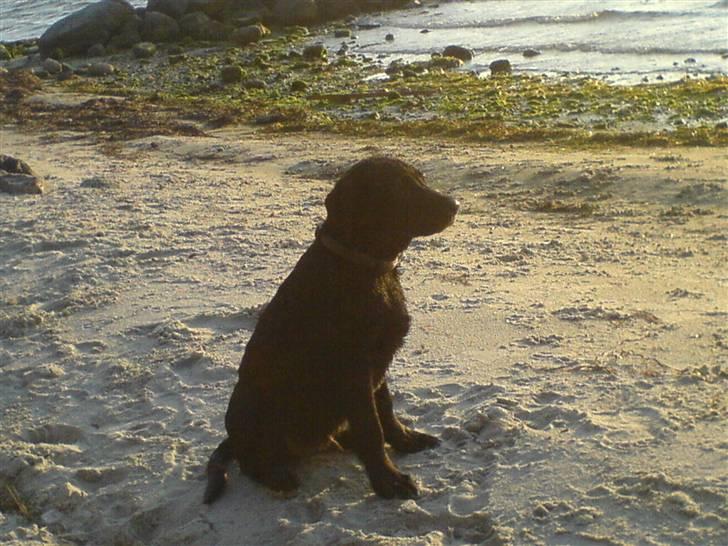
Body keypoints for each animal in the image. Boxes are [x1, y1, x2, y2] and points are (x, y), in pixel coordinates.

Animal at [203, 154, 456, 502]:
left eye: (421, 179)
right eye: (400, 188)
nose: (454, 205)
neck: (364, 266)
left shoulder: (378, 361)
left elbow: (384, 409)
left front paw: (404, 439)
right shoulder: (353, 367)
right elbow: (370, 426)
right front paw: (387, 480)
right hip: (249, 403)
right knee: (250, 460)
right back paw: (275, 474)